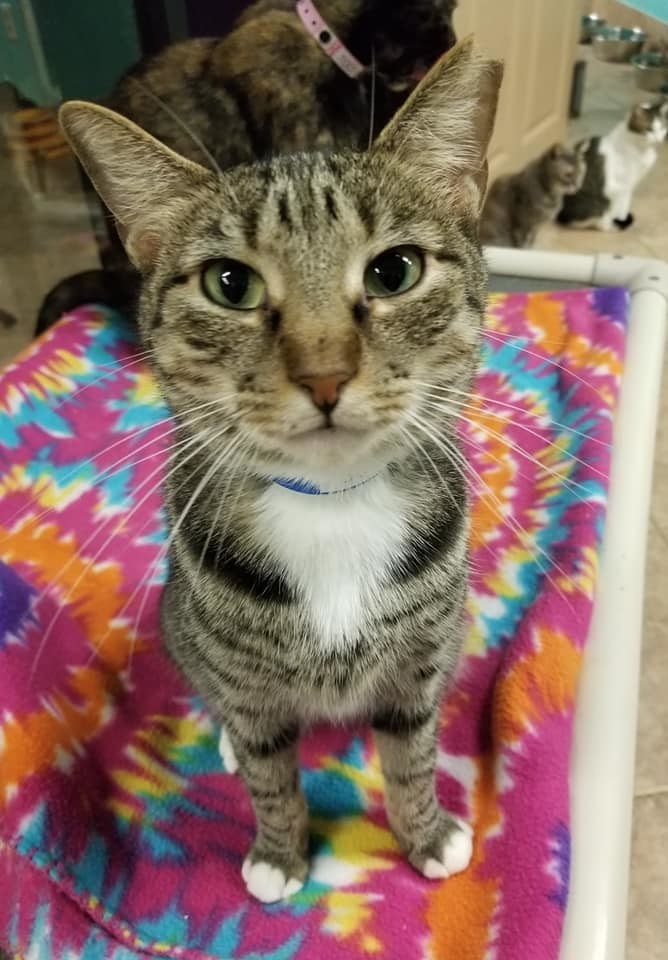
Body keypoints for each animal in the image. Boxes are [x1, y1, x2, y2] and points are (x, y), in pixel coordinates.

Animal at [61, 41, 500, 904]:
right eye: (229, 284)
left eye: (396, 271)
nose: (325, 374)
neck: (332, 511)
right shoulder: (245, 680)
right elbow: (270, 777)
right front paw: (279, 853)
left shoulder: (418, 669)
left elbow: (413, 758)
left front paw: (426, 835)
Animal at [556, 101, 664, 231]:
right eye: (649, 129)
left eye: (662, 128)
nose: (659, 138)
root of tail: (562, 216)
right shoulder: (623, 186)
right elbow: (623, 207)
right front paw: (622, 221)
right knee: (600, 223)